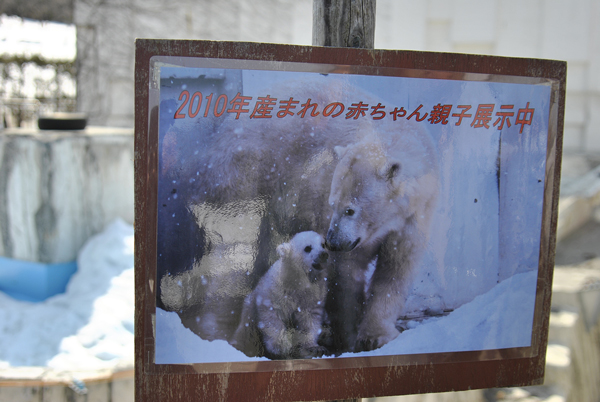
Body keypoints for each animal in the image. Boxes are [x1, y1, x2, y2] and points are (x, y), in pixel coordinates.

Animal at [232, 231, 330, 360]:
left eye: (323, 245)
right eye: (307, 248)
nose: (323, 254)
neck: (297, 281)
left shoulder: (313, 295)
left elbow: (310, 320)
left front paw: (314, 348)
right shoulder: (276, 293)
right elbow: (272, 317)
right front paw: (280, 346)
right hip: (249, 315)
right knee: (246, 334)